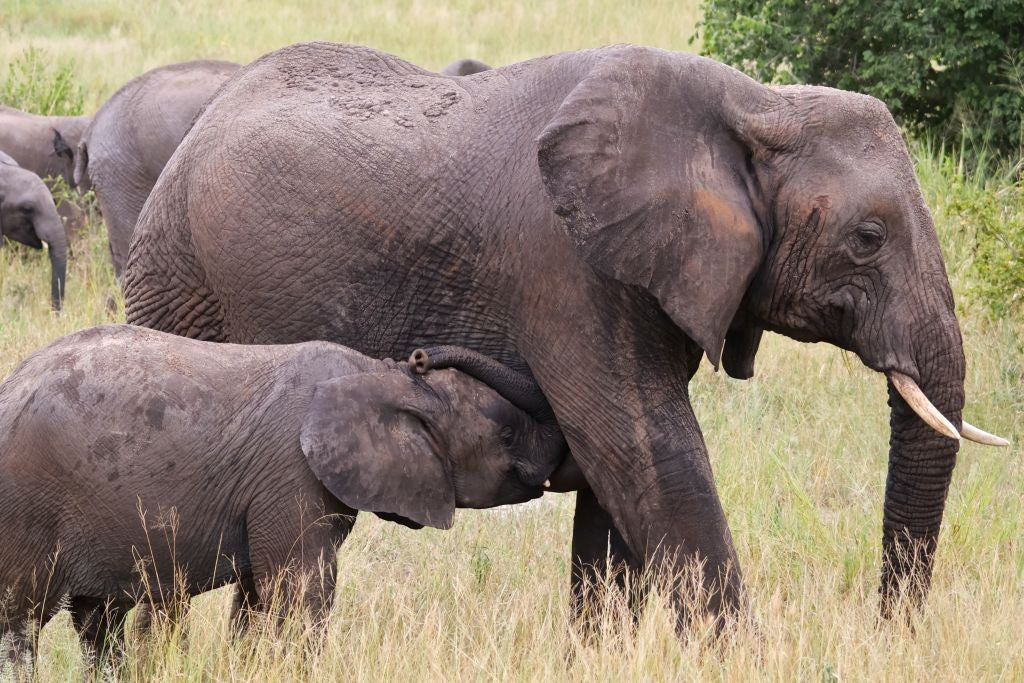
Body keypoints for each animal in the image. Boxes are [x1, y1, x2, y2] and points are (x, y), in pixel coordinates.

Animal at [0, 325, 566, 664]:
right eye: (506, 436)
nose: (420, 356)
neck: (376, 374)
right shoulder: (292, 473)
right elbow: (301, 591)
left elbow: (257, 596)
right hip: (27, 506)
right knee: (20, 621)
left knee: (97, 623)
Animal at [122, 42, 1008, 626]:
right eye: (868, 238)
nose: (888, 629)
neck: (754, 103)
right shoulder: (567, 264)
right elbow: (644, 447)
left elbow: (616, 469)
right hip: (179, 279)